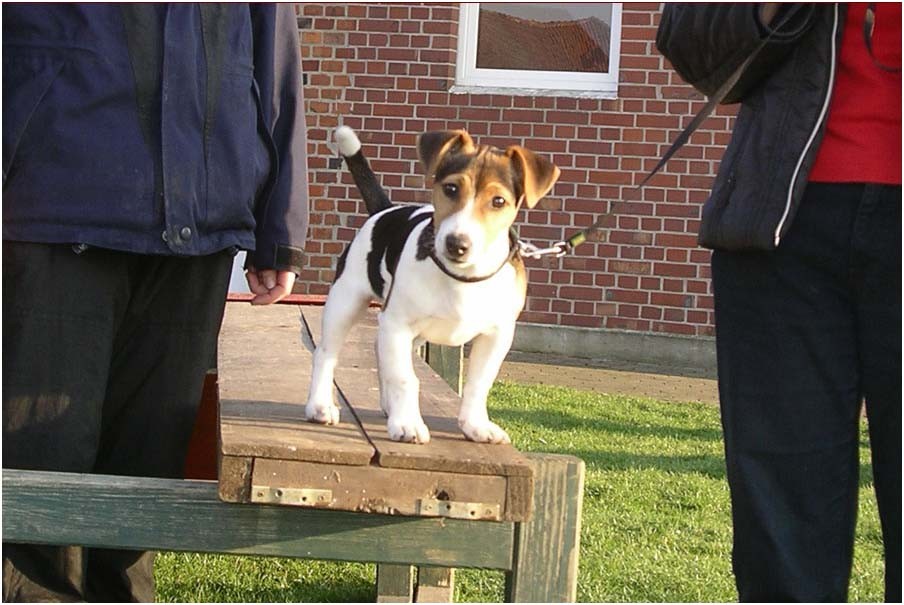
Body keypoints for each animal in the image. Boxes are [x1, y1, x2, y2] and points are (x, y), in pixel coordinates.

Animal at [304, 125, 556, 442]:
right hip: (345, 302)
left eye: (498, 201)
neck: (462, 277)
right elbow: (405, 378)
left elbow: (478, 384)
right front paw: (407, 424)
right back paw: (320, 406)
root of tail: (385, 210)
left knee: (378, 350)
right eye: (451, 189)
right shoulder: (398, 324)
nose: (457, 244)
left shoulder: (497, 335)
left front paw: (476, 425)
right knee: (326, 354)